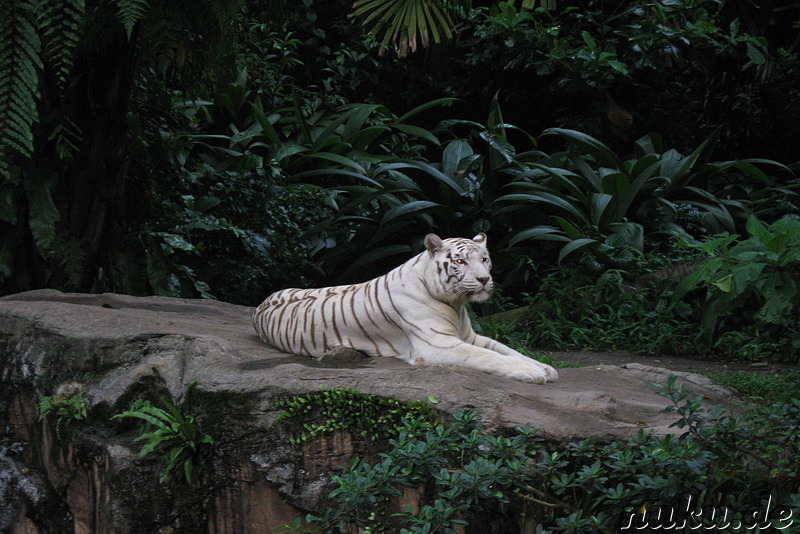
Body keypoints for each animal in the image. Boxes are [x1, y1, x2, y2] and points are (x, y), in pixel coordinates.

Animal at [253, 234, 560, 386]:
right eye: (460, 261)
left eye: (484, 259)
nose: (485, 279)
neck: (456, 304)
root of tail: (262, 302)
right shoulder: (438, 344)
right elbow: (489, 357)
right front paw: (532, 373)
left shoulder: (470, 337)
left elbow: (507, 350)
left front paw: (544, 367)